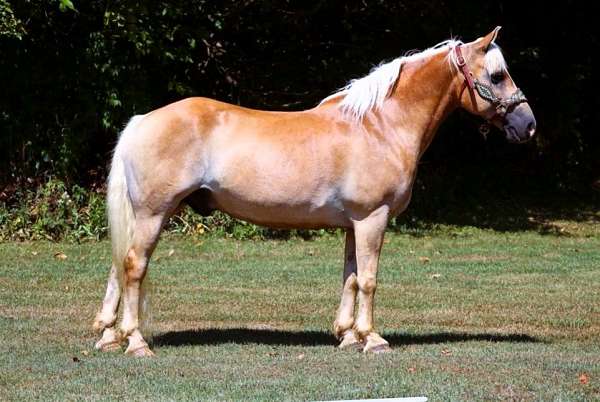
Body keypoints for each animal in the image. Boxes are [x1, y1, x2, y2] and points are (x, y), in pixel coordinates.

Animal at [95, 27, 540, 354]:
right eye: (497, 76)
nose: (529, 125)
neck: (380, 125)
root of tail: (141, 120)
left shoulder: (354, 223)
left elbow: (350, 277)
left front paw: (347, 335)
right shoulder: (373, 218)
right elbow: (369, 279)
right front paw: (372, 339)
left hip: (147, 216)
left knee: (120, 266)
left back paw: (108, 336)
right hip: (154, 213)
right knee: (134, 267)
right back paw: (135, 342)